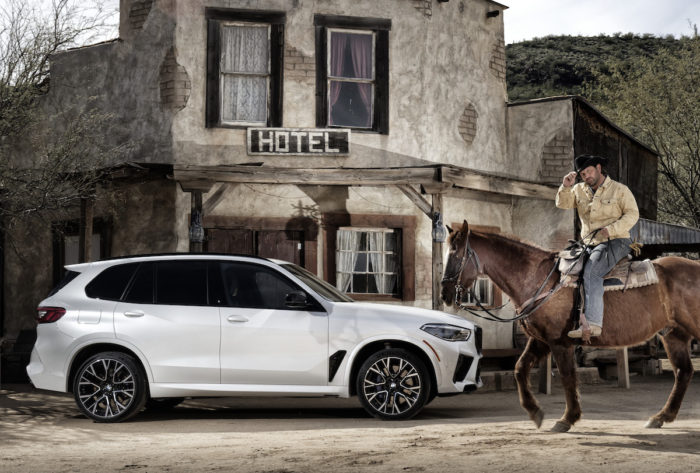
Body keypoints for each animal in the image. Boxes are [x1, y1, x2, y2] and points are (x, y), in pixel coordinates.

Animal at [442, 219, 700, 430]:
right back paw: (661, 417)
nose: (445, 294)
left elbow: (567, 376)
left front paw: (568, 418)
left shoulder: (560, 342)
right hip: (674, 335)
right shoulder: (540, 340)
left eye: (455, 254)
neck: (540, 279)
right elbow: (520, 369)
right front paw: (535, 412)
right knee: (683, 372)